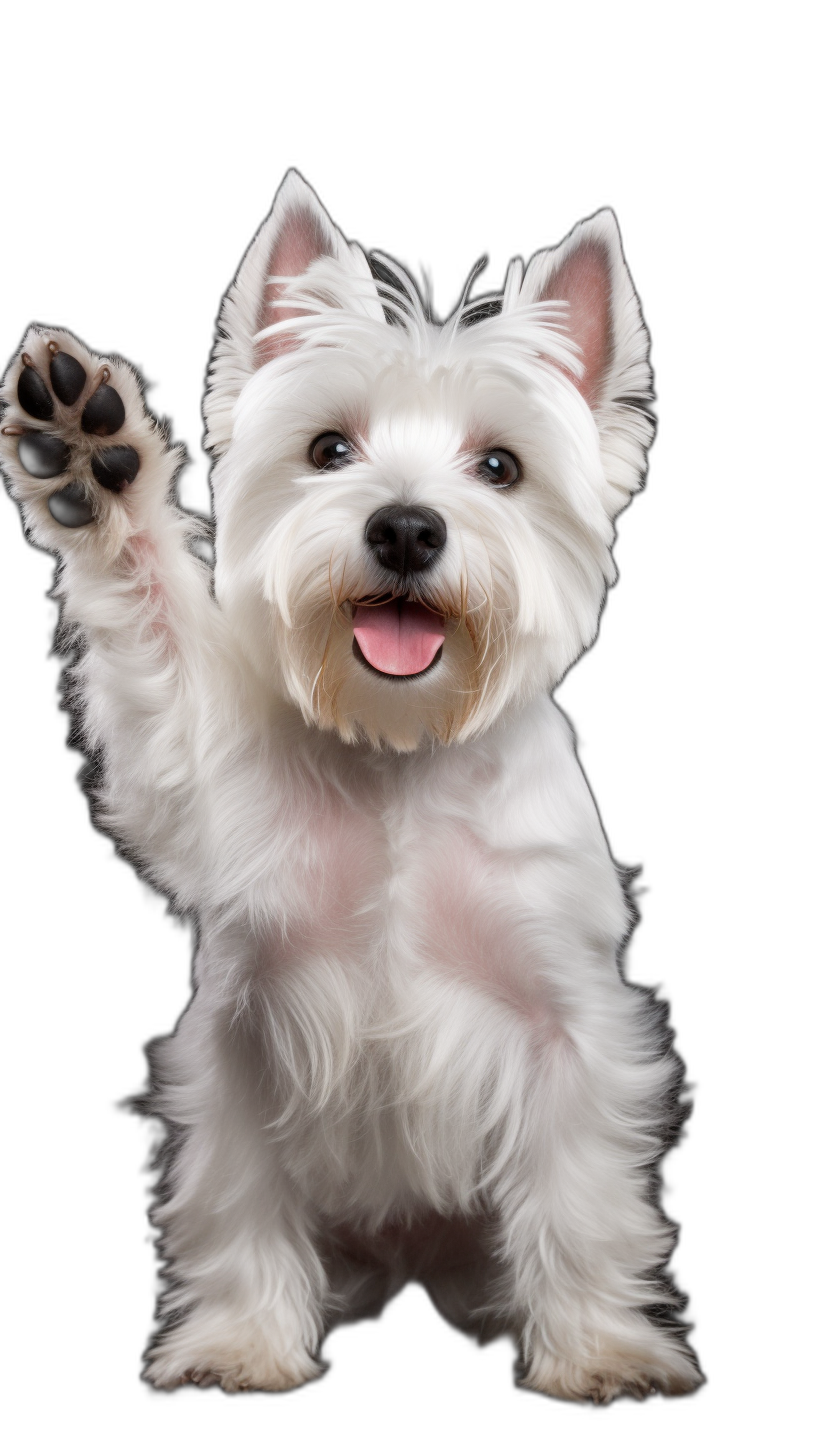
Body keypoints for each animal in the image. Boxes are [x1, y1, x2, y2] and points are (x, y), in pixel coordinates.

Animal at [0, 170, 702, 1397]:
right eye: (329, 448)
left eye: (500, 467)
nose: (407, 527)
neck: (401, 755)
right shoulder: (220, 921)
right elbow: (155, 634)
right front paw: (90, 456)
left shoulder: (569, 1029)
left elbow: (583, 1201)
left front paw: (603, 1351)